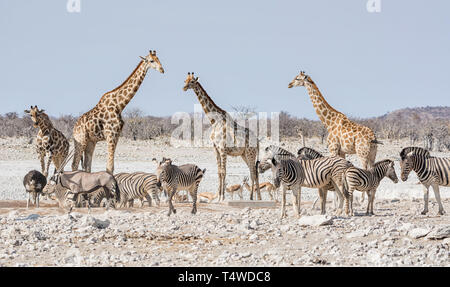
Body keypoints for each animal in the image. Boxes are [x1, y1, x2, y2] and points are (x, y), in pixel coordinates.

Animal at [182, 72, 262, 200]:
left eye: (192, 82)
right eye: (185, 80)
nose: (184, 87)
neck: (214, 121)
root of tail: (258, 141)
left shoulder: (223, 149)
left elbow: (224, 171)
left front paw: (222, 197)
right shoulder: (216, 149)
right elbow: (219, 172)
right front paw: (219, 196)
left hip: (251, 153)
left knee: (253, 172)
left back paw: (252, 198)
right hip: (244, 154)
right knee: (253, 172)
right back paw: (257, 198)